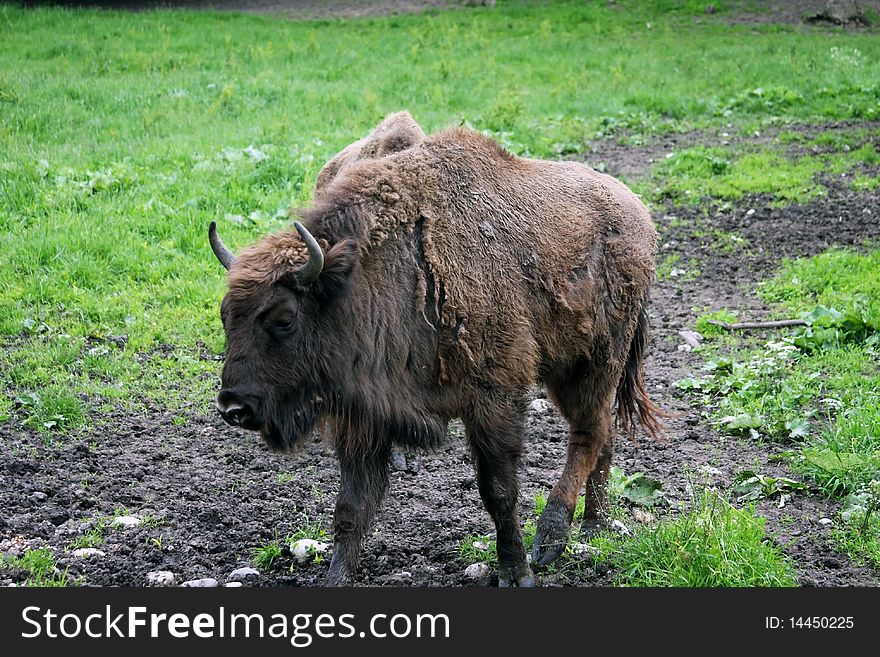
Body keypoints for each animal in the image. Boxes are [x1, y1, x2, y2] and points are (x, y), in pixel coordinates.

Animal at [208, 111, 660, 584]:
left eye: (283, 319)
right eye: (225, 315)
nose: (233, 407)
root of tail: (639, 213)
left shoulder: (494, 400)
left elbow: (499, 492)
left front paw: (516, 571)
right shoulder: (365, 415)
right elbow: (351, 505)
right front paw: (337, 577)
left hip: (597, 361)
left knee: (588, 433)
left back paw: (551, 538)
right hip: (569, 368)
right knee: (602, 432)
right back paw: (593, 525)